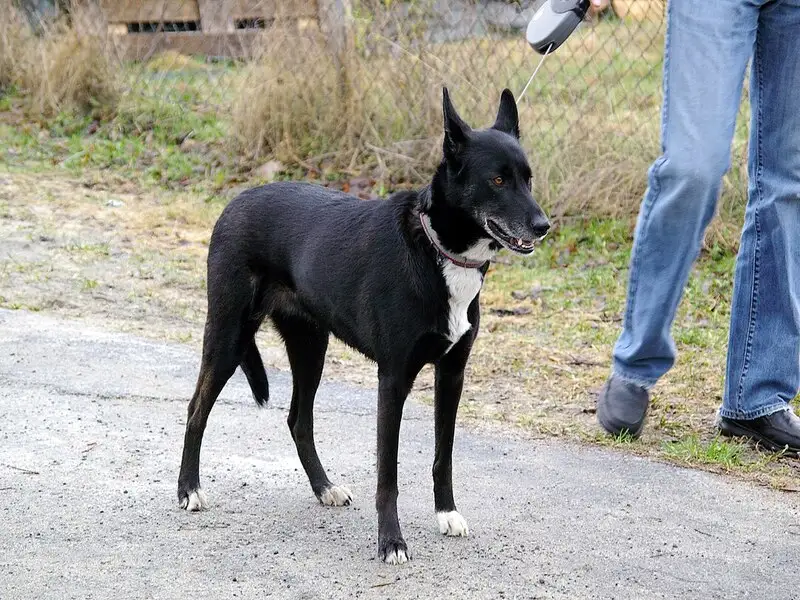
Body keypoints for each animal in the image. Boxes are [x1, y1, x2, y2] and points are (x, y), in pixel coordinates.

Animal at [177, 88, 552, 564]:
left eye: (528, 179)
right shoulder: (392, 380)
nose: (543, 226)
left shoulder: (452, 374)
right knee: (196, 410)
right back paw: (188, 490)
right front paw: (391, 541)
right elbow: (387, 473)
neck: (439, 251)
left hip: (310, 348)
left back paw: (324, 488)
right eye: (498, 181)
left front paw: (446, 513)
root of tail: (235, 202)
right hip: (228, 335)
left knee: (298, 420)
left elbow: (443, 455)